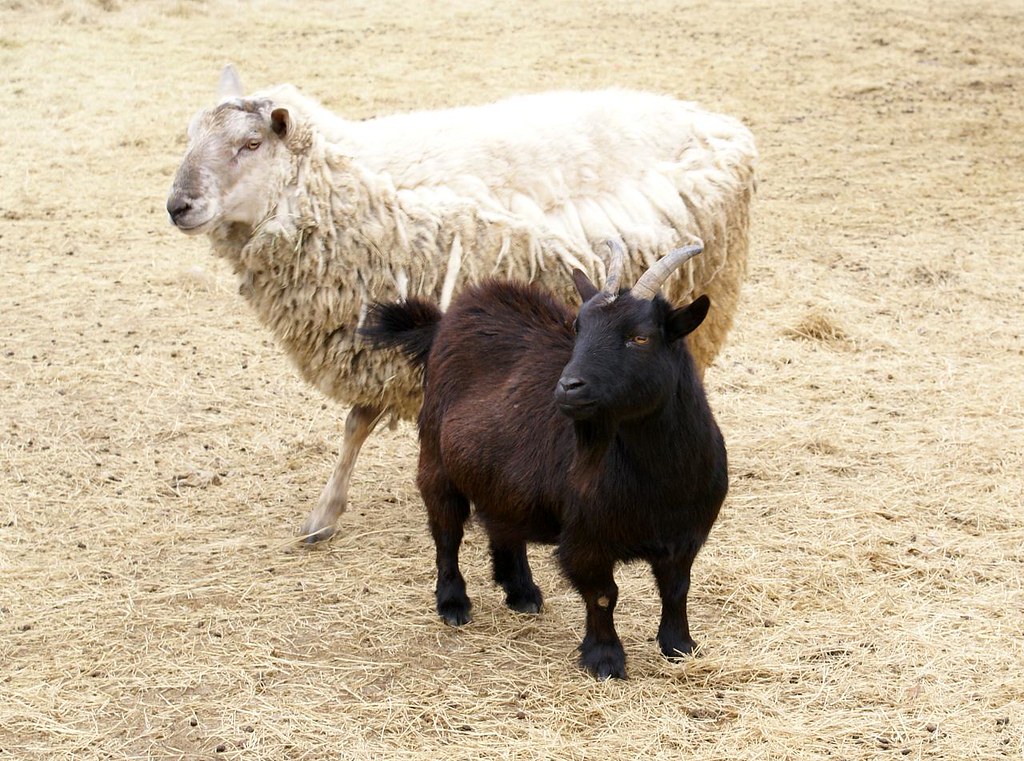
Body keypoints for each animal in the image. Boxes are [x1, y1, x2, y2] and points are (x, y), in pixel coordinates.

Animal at [166, 66, 755, 542]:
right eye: (191, 138)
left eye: (250, 144)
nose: (178, 205)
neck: (345, 187)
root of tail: (716, 120)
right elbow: (359, 422)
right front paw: (325, 515)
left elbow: (362, 419)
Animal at [361, 243, 728, 679]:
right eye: (579, 329)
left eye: (640, 337)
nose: (568, 387)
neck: (660, 478)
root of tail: (447, 320)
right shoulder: (585, 537)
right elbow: (603, 595)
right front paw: (605, 661)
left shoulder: (686, 534)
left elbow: (676, 589)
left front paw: (680, 647)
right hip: (436, 458)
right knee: (446, 533)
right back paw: (453, 604)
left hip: (499, 473)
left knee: (501, 521)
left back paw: (520, 591)